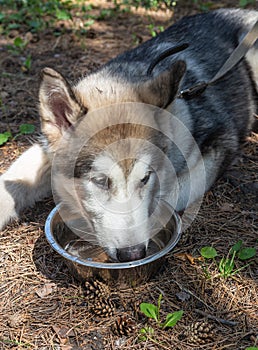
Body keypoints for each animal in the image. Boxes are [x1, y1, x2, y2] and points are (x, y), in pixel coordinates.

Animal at [0, 8, 258, 262]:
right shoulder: (47, 149)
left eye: (145, 178)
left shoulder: (221, 142)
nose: (132, 254)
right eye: (100, 181)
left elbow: (170, 192)